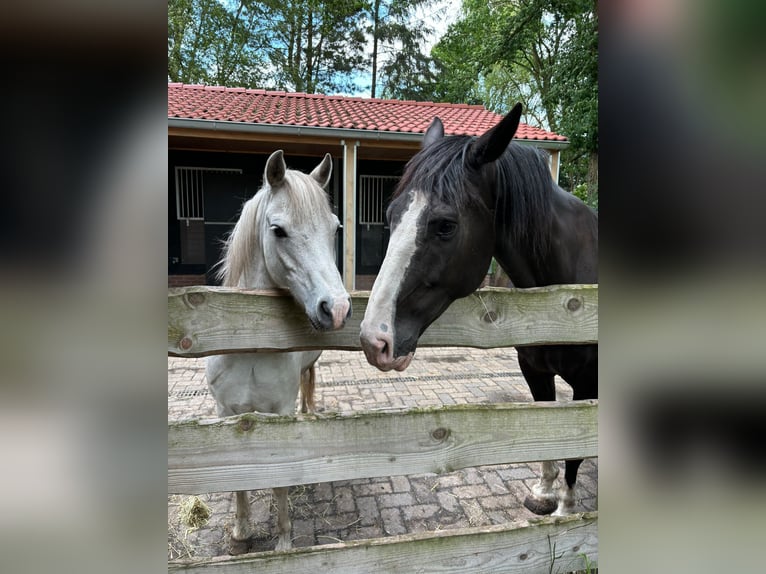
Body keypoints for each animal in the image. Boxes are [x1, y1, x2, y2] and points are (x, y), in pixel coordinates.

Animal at [362, 106, 600, 520]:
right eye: (390, 215)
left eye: (445, 225)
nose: (375, 340)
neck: (567, 301)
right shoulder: (535, 371)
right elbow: (549, 428)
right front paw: (543, 492)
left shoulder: (587, 386)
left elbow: (574, 450)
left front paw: (566, 509)